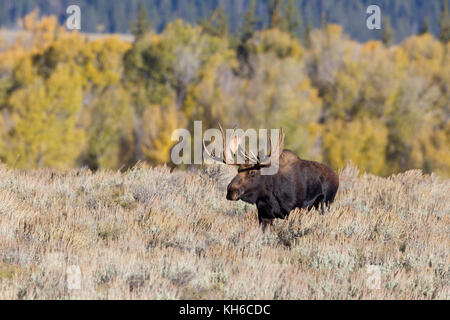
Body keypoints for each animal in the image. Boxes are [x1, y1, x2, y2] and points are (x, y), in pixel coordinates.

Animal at [203, 125, 338, 230]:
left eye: (252, 172)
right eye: (238, 169)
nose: (231, 191)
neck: (270, 195)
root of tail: (336, 177)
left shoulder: (293, 210)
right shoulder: (264, 216)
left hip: (325, 204)